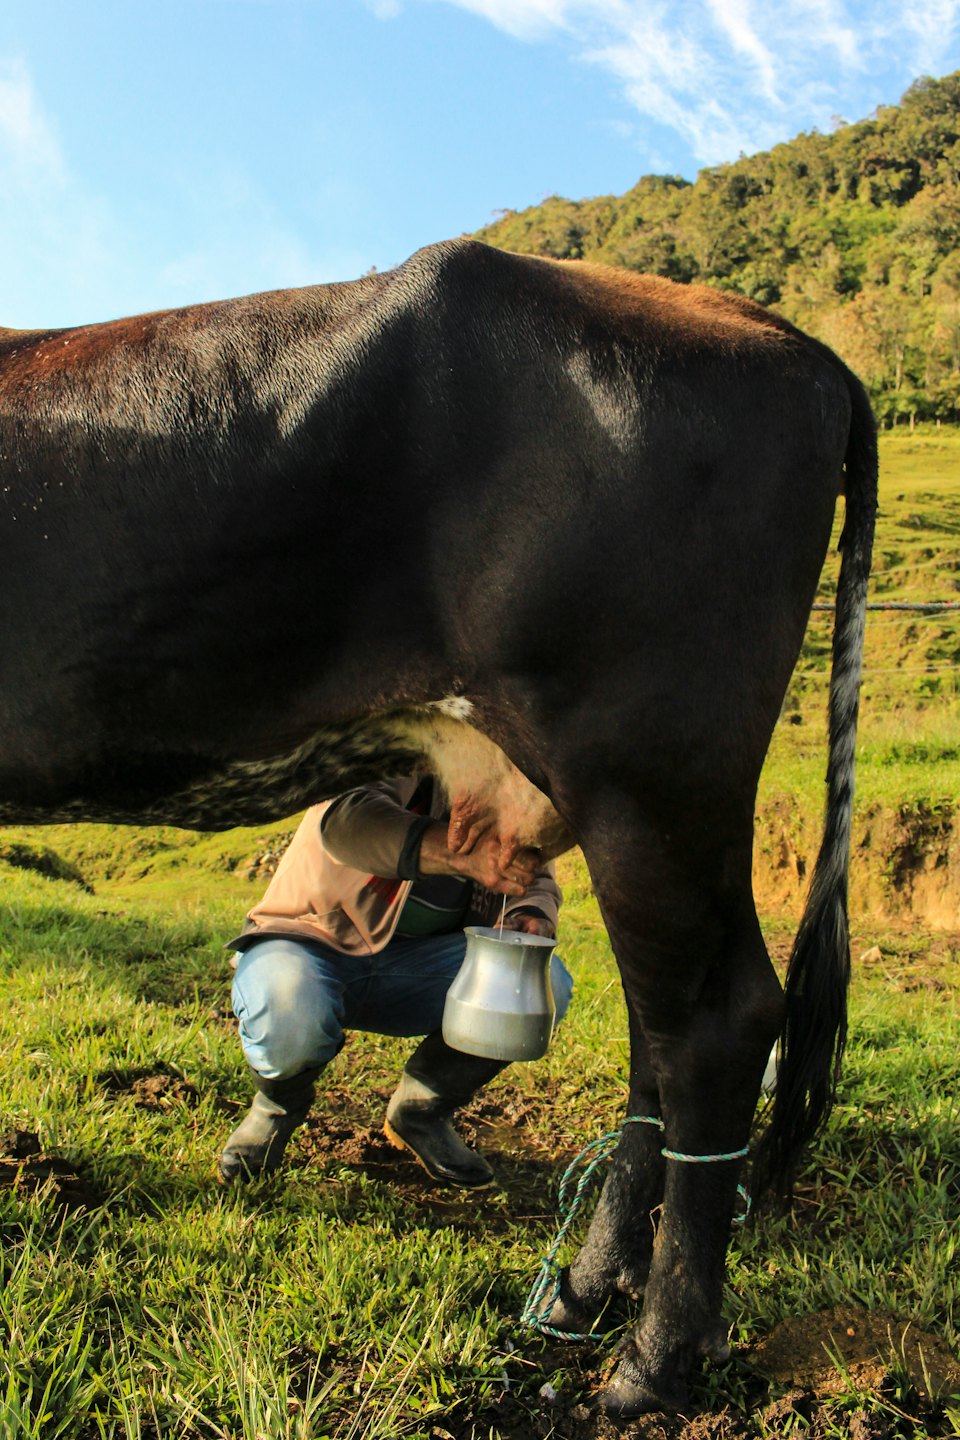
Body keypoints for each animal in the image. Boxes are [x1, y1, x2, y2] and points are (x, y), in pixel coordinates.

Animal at [0, 238, 876, 1417]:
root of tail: (777, 332)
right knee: (657, 1036)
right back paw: (582, 1296)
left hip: (649, 773)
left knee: (713, 1026)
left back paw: (653, 1359)